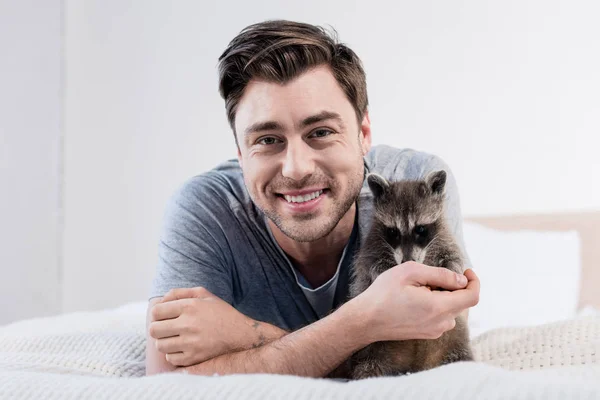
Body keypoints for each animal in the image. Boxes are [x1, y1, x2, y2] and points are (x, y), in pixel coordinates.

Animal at [346, 170, 474, 380]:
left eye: (420, 229)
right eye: (393, 232)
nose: (407, 262)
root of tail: (414, 367)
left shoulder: (444, 236)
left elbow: (454, 255)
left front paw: (453, 268)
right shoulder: (373, 243)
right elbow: (370, 264)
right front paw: (385, 270)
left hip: (454, 339)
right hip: (372, 347)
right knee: (368, 365)